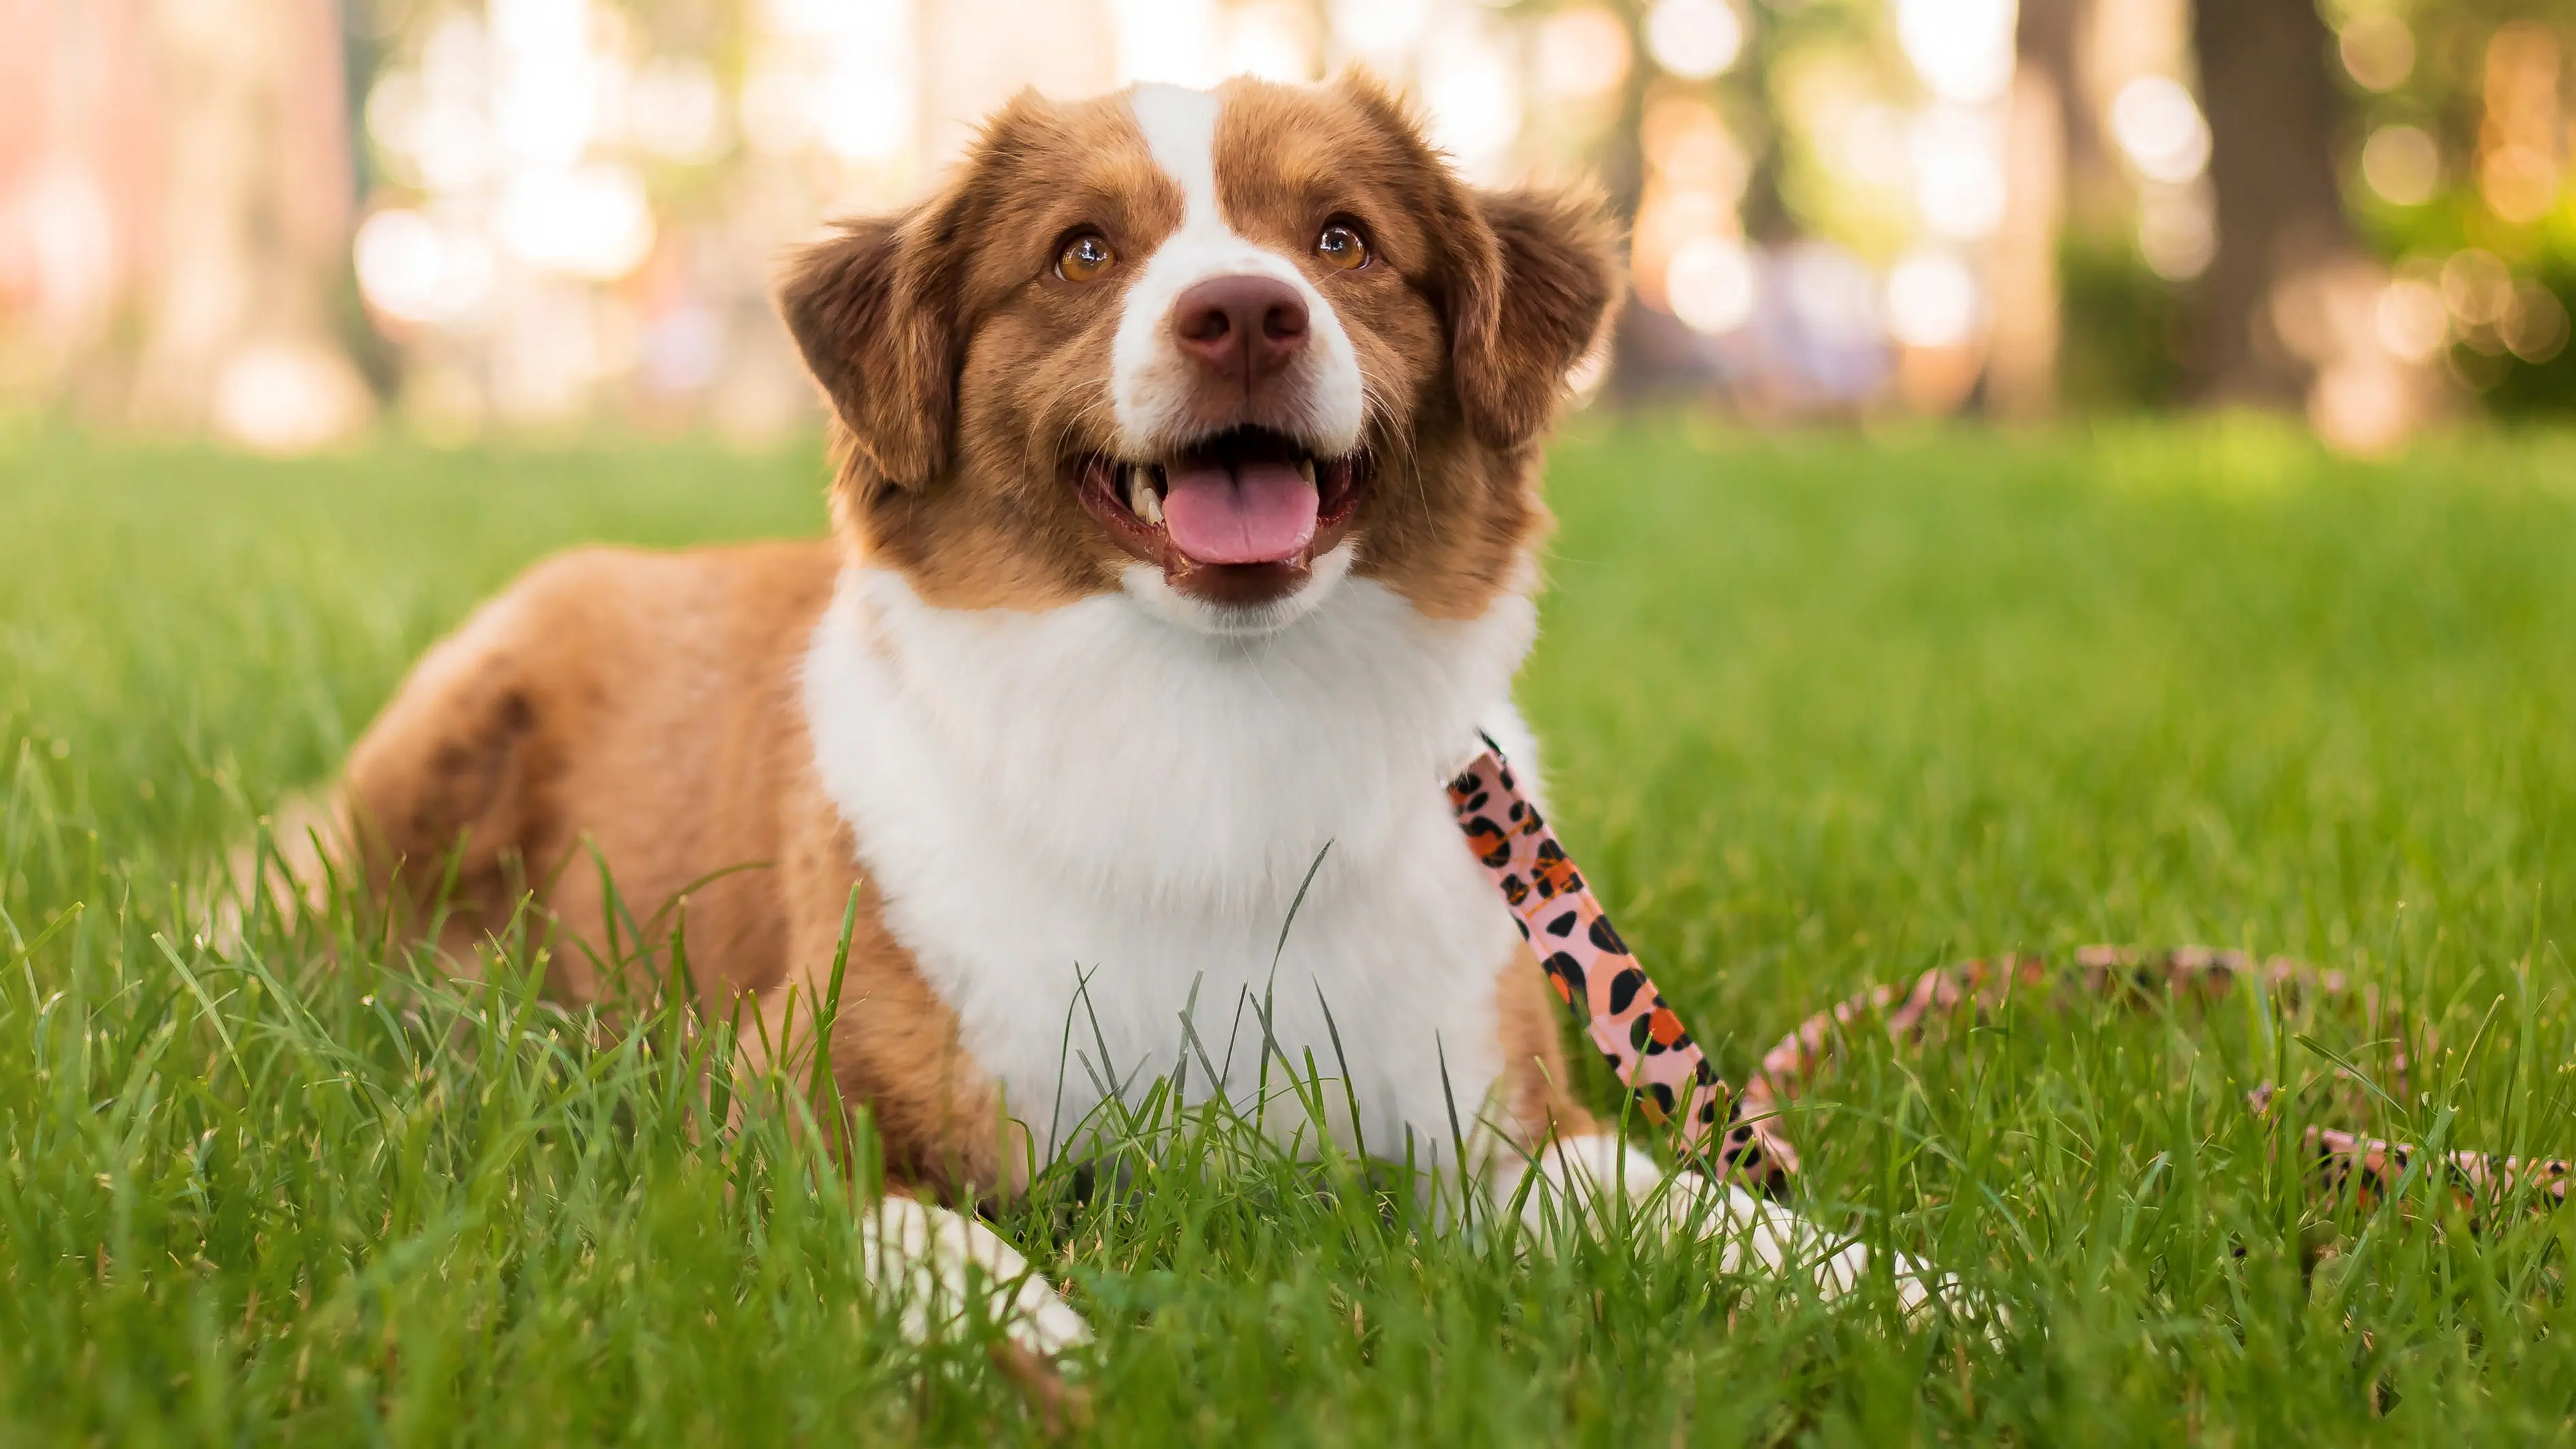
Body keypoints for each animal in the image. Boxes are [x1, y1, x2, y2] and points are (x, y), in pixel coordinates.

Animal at [292, 74, 1926, 1358]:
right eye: (1079, 253)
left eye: (1341, 239)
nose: (1246, 314)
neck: (1208, 723)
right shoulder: (760, 1098)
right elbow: (915, 1224)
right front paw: (1016, 1331)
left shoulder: (1500, 1138)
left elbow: (1712, 1211)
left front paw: (1910, 1292)